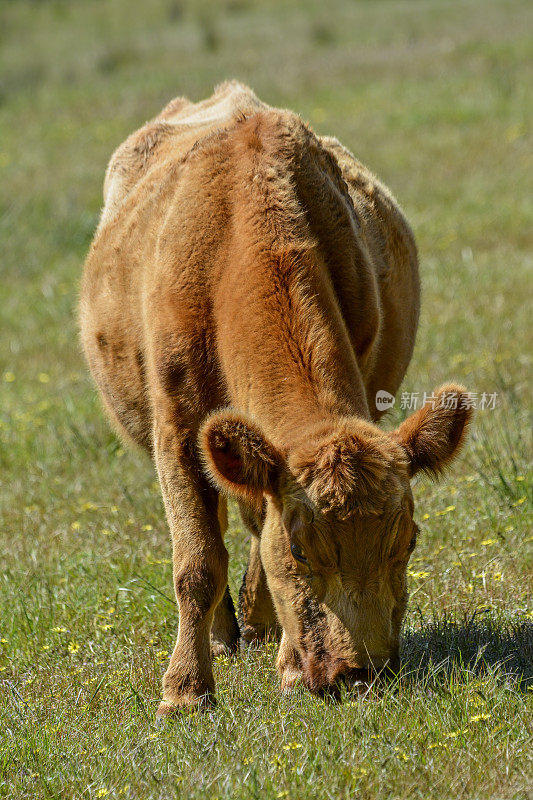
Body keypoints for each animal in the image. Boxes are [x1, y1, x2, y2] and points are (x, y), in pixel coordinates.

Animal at [78, 83, 470, 720]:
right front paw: (185, 691)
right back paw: (223, 635)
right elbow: (198, 563)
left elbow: (257, 540)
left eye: (407, 541)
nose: (363, 674)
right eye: (303, 551)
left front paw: (287, 666)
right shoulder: (177, 433)